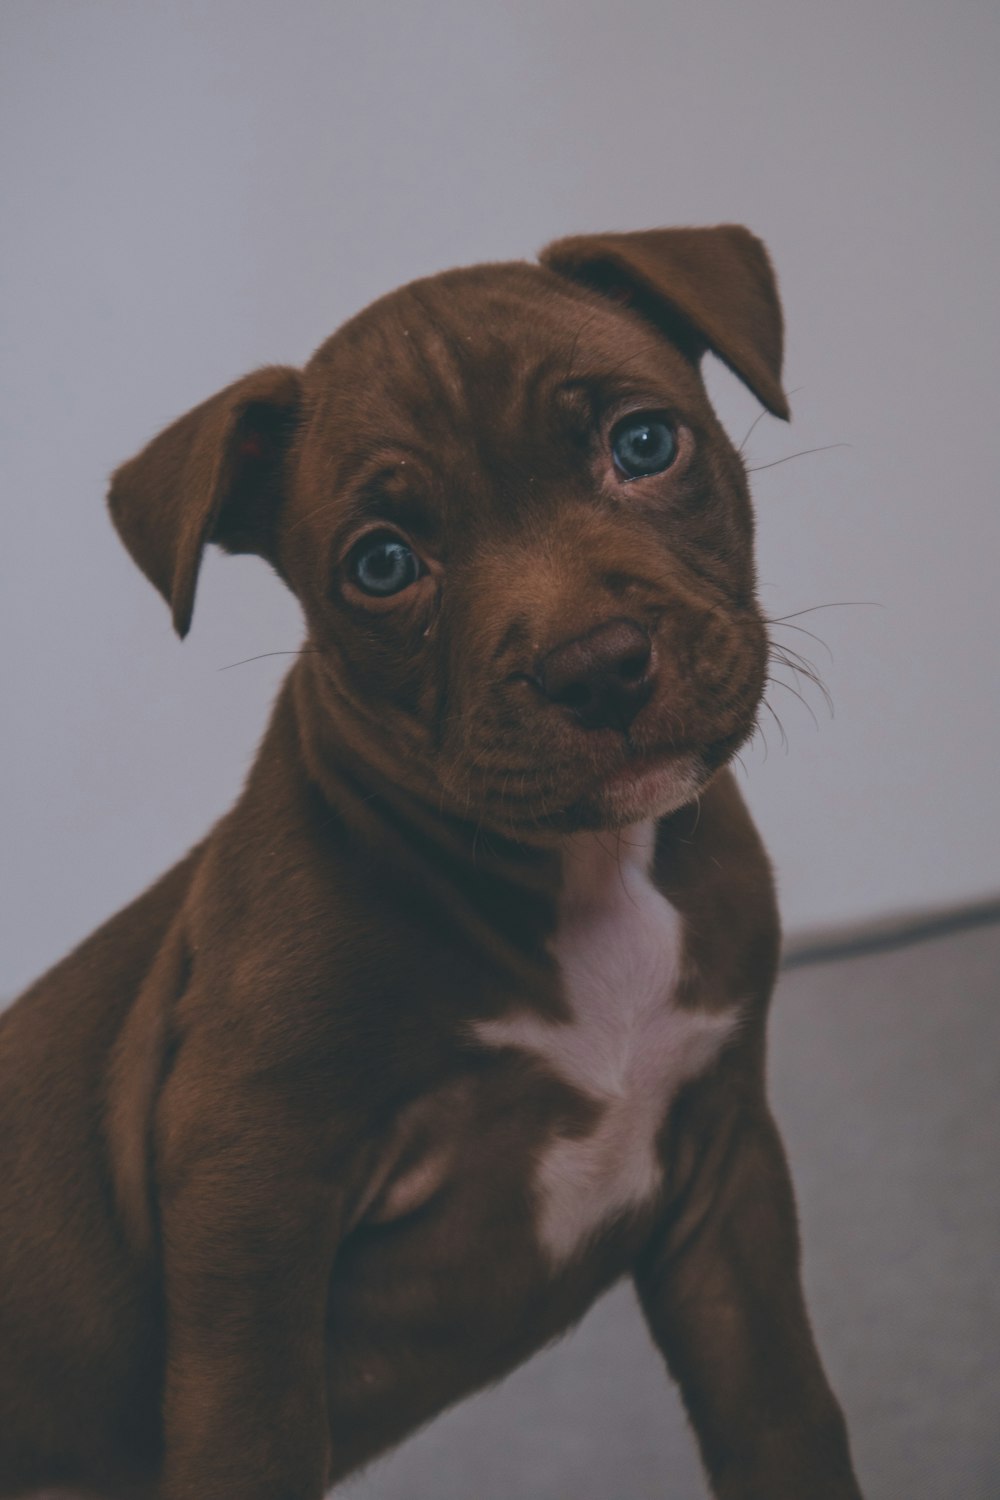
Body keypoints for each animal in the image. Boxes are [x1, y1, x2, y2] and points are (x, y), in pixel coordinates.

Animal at [0, 225, 863, 1500]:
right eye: (382, 565)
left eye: (643, 444)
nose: (596, 666)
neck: (584, 874)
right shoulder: (249, 1214)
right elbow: (253, 1435)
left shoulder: (722, 1191)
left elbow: (784, 1418)